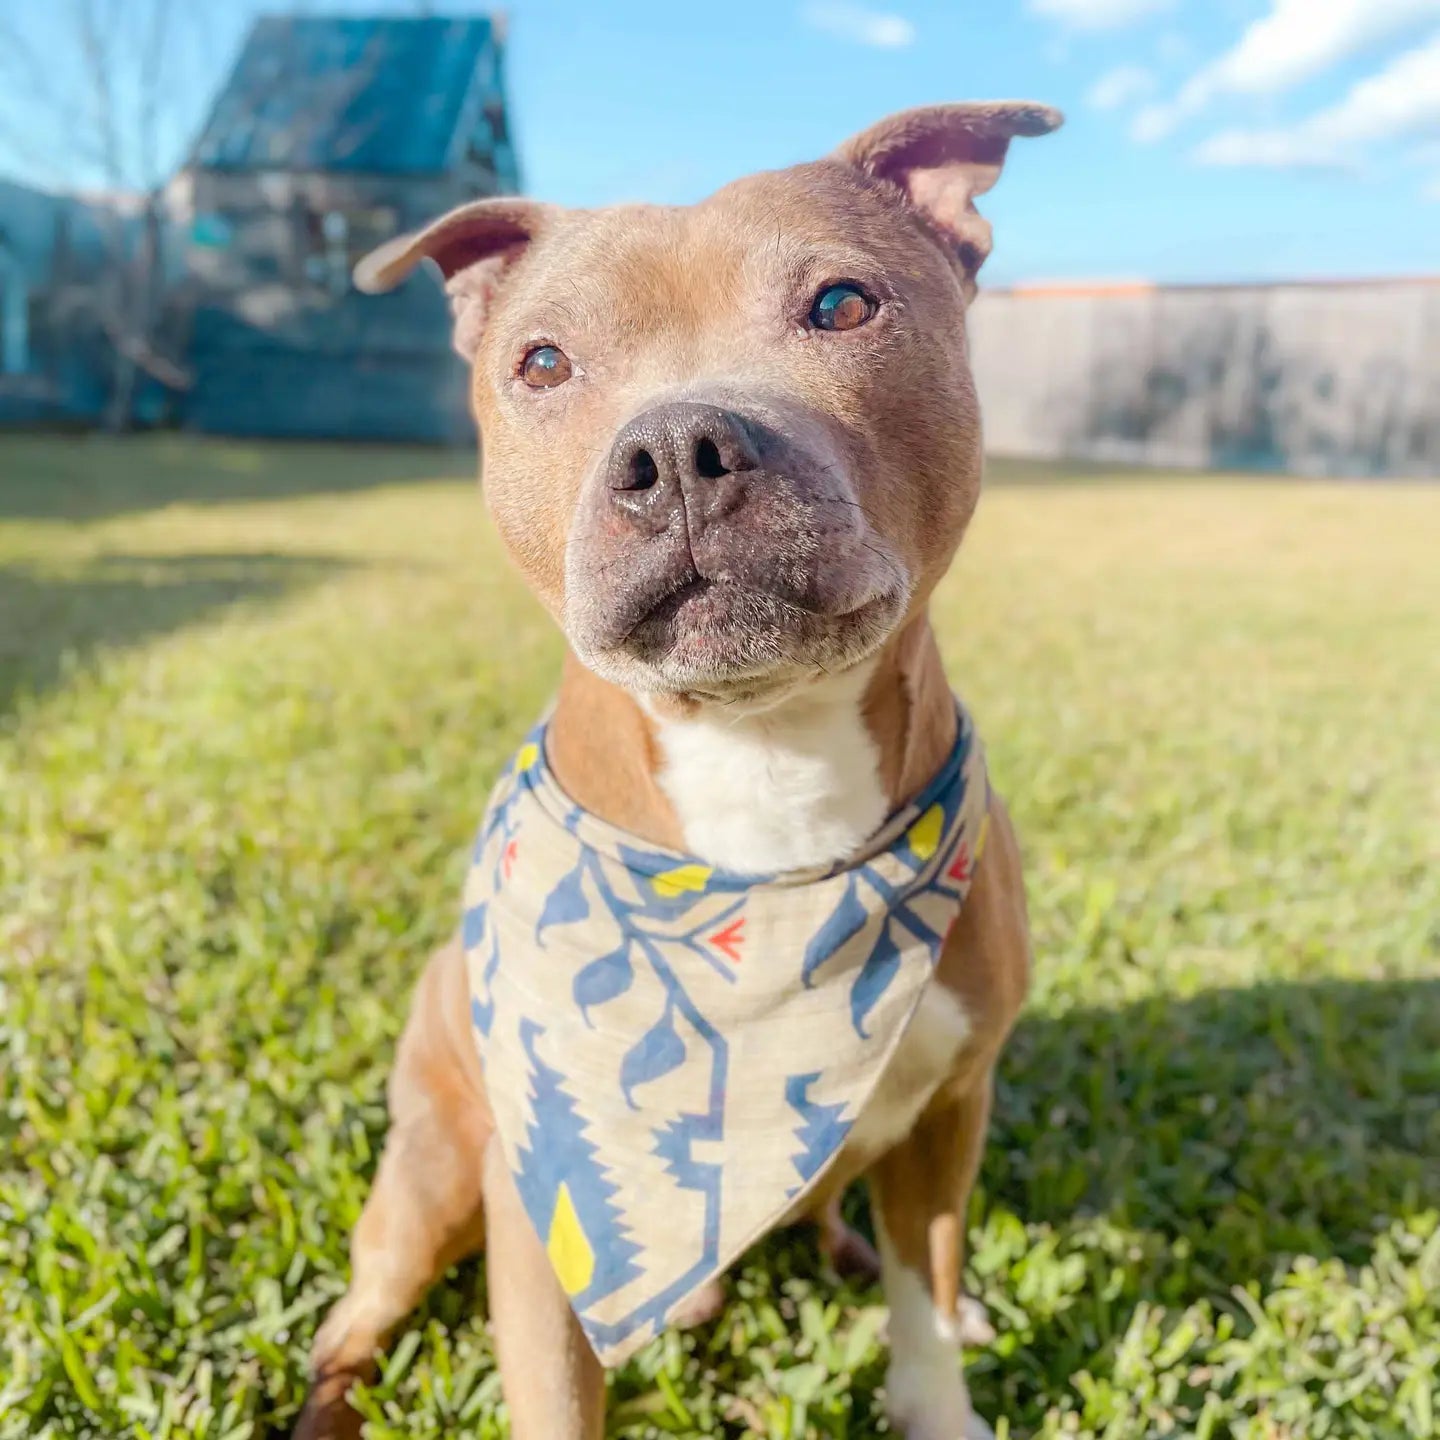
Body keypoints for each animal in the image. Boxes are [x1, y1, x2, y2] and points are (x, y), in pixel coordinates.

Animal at [292, 101, 1059, 1440]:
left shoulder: (952, 1114)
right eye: (543, 363)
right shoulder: (548, 1208)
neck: (764, 763)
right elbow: (553, 1393)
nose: (678, 444)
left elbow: (925, 1297)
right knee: (353, 1323)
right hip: (424, 1190)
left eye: (844, 304)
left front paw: (937, 1381)